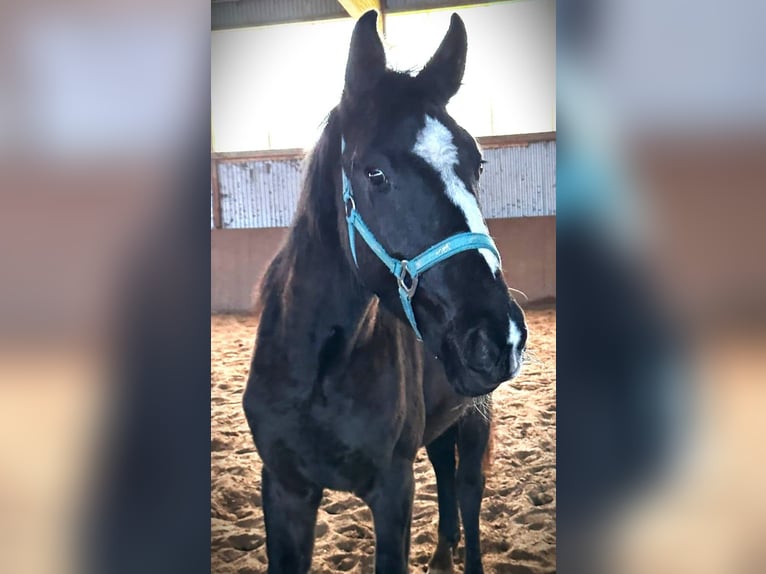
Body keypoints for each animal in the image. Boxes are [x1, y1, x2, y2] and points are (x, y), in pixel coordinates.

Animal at [244, 10, 528, 574]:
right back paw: (440, 556)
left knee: (468, 490)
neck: (319, 372)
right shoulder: (284, 490)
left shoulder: (393, 489)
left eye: (478, 165)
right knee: (444, 473)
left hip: (475, 416)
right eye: (375, 173)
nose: (498, 337)